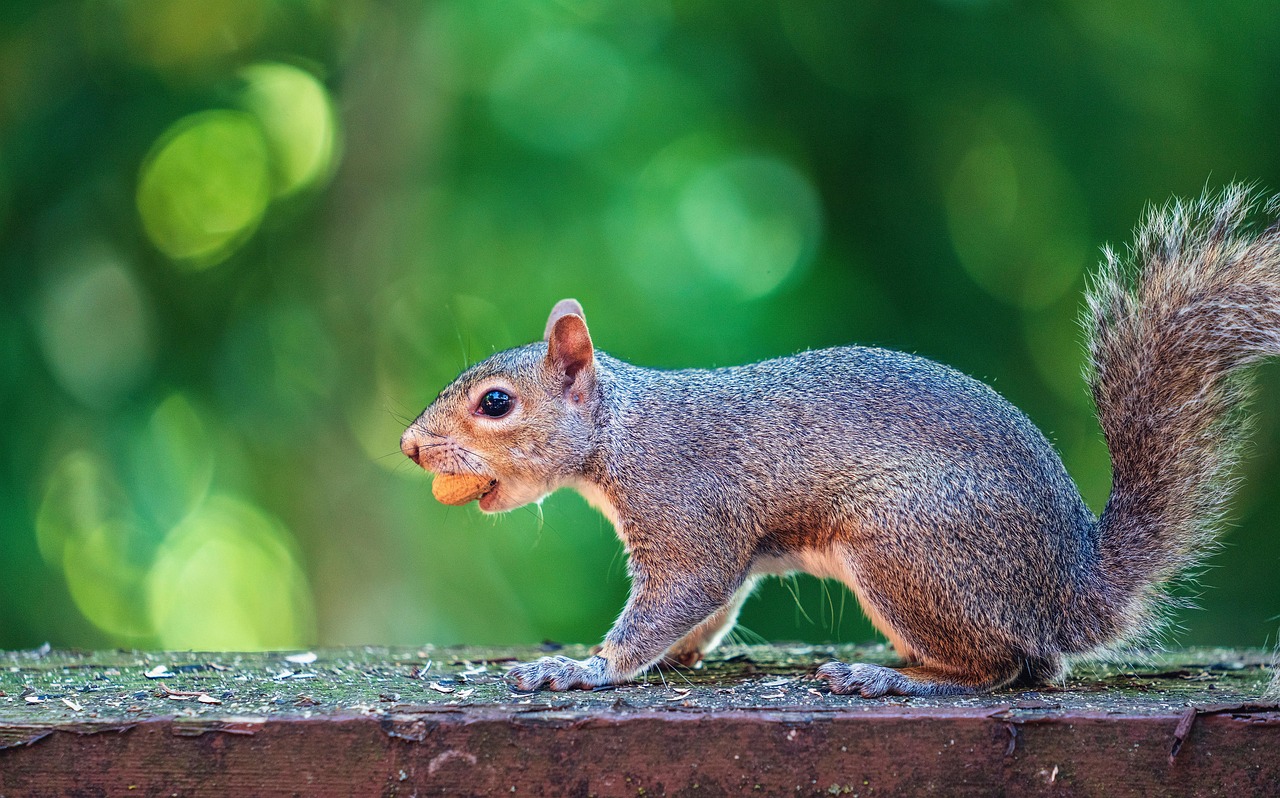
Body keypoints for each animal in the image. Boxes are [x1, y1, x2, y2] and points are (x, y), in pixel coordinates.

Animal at [400, 185, 1280, 696]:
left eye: (496, 403)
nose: (410, 446)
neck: (623, 432)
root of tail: (1072, 587)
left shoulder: (688, 515)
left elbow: (679, 597)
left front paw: (585, 668)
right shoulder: (719, 548)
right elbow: (710, 611)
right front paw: (672, 656)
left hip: (907, 550)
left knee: (1011, 666)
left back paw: (895, 677)